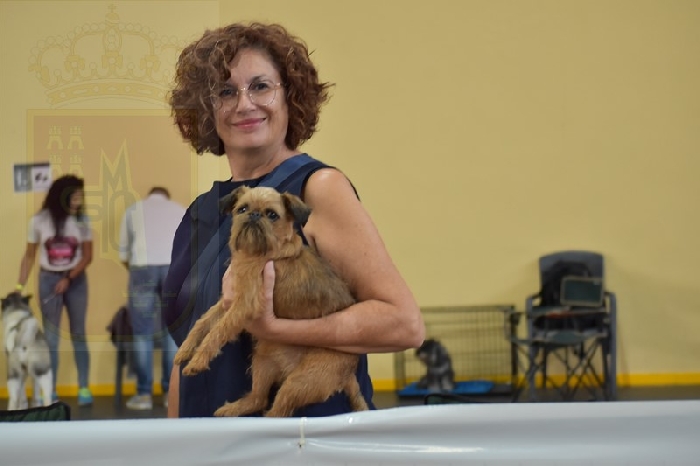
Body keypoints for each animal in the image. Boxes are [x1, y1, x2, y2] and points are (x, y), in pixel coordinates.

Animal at [174, 186, 369, 417]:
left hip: (300, 381)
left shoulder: (243, 305)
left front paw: (197, 361)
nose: (254, 214)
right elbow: (203, 323)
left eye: (272, 215)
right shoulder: (229, 301)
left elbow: (217, 331)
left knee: (278, 413)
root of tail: (349, 373)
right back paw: (231, 409)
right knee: (259, 399)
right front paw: (185, 350)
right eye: (242, 209)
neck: (258, 252)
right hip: (263, 360)